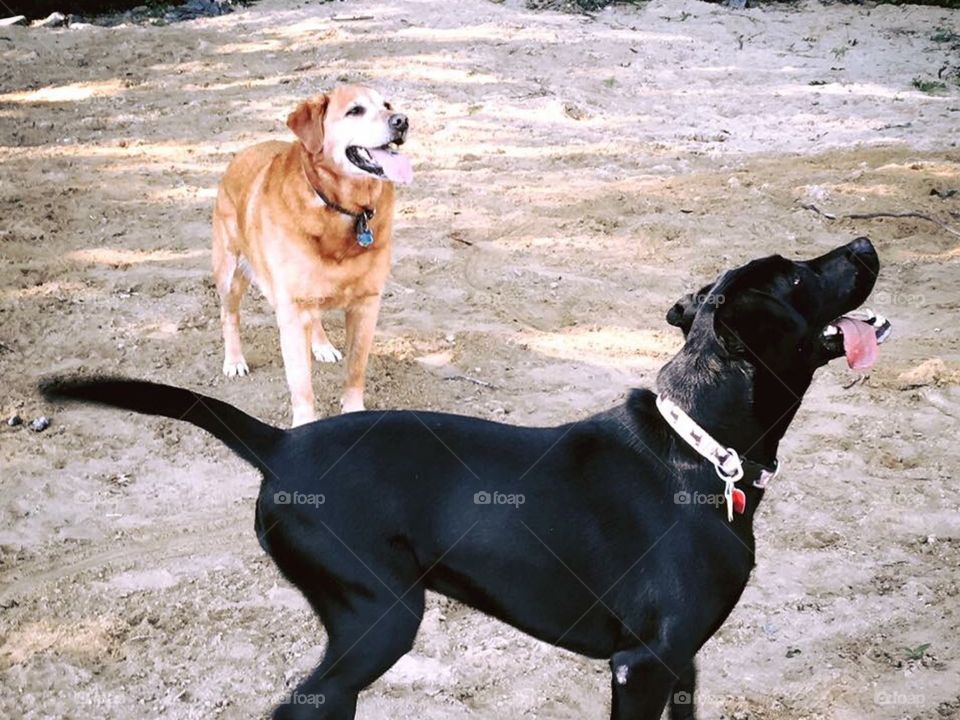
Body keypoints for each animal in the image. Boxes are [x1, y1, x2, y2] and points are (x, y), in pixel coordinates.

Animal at [41, 238, 888, 720]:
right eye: (799, 277)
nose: (864, 240)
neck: (704, 451)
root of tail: (280, 445)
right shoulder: (641, 665)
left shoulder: (681, 663)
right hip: (381, 614)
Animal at [212, 86, 410, 428]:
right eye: (355, 110)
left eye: (387, 105)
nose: (402, 121)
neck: (343, 211)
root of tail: (243, 152)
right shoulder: (292, 311)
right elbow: (301, 384)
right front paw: (305, 424)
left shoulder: (366, 305)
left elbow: (355, 371)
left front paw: (353, 411)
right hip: (230, 274)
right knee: (230, 317)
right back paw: (234, 360)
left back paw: (322, 345)